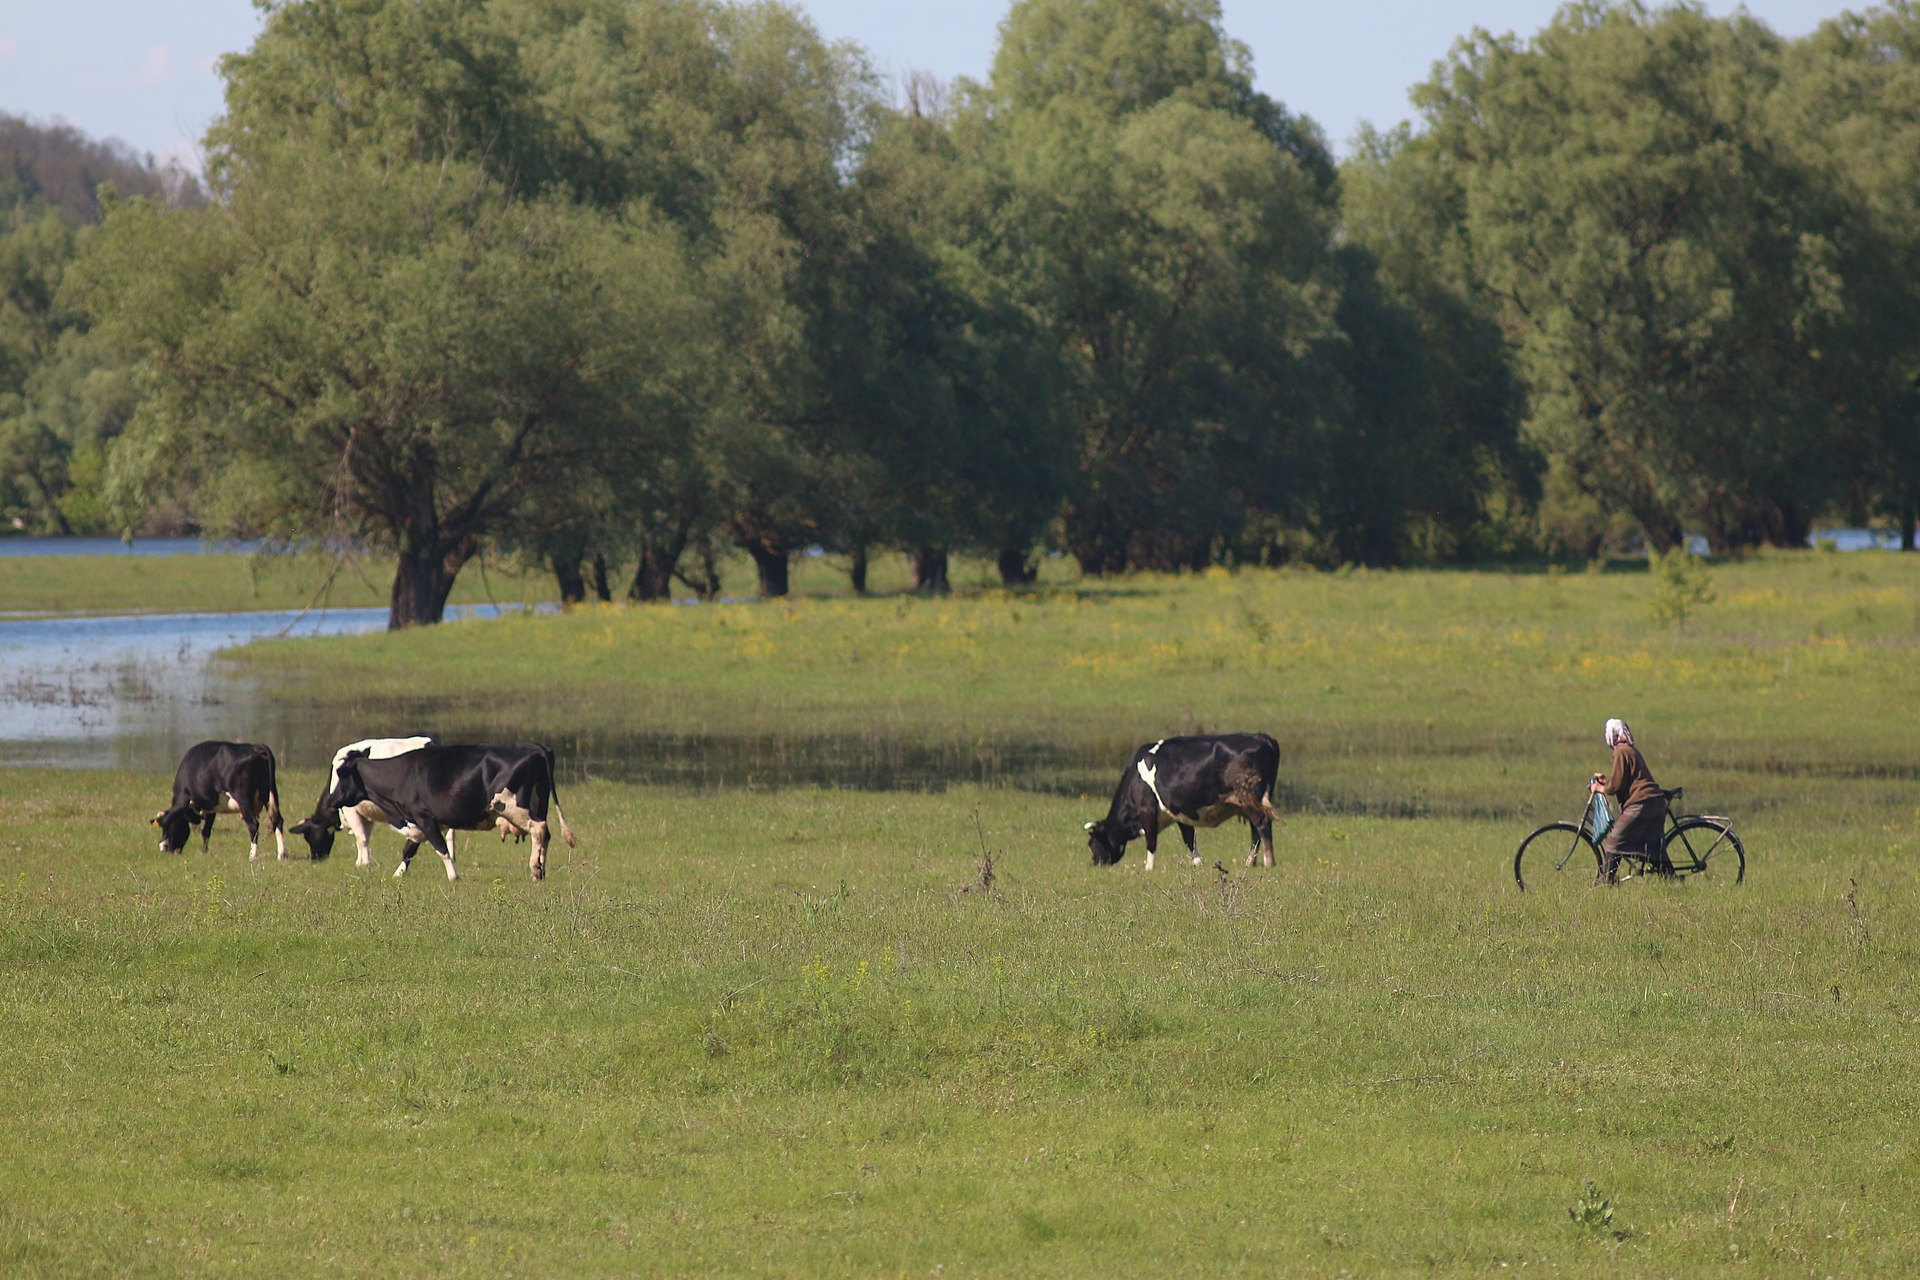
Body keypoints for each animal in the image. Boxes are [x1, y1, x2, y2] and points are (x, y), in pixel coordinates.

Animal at [151, 740, 288, 862]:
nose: (173, 850)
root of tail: (255, 747)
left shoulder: (182, 799)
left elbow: (167, 819)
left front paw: (162, 844)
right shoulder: (211, 807)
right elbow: (206, 831)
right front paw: (204, 852)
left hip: (243, 799)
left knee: (253, 824)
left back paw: (253, 856)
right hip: (268, 794)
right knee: (277, 820)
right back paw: (281, 855)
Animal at [324, 743, 577, 882]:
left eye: (341, 774)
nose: (331, 799)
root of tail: (537, 747)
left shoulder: (423, 816)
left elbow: (441, 848)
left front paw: (454, 876)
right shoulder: (423, 820)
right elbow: (409, 849)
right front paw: (398, 875)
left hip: (514, 806)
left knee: (539, 830)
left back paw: (535, 869)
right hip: (538, 804)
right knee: (546, 834)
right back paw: (541, 869)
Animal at [1084, 733, 1281, 870]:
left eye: (1092, 844)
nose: (1094, 864)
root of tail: (1261, 737)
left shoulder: (1148, 810)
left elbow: (1151, 841)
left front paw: (1149, 867)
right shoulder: (1179, 812)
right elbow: (1189, 838)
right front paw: (1198, 863)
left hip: (1250, 798)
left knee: (1262, 824)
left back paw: (1268, 862)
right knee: (1256, 830)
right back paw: (1250, 862)